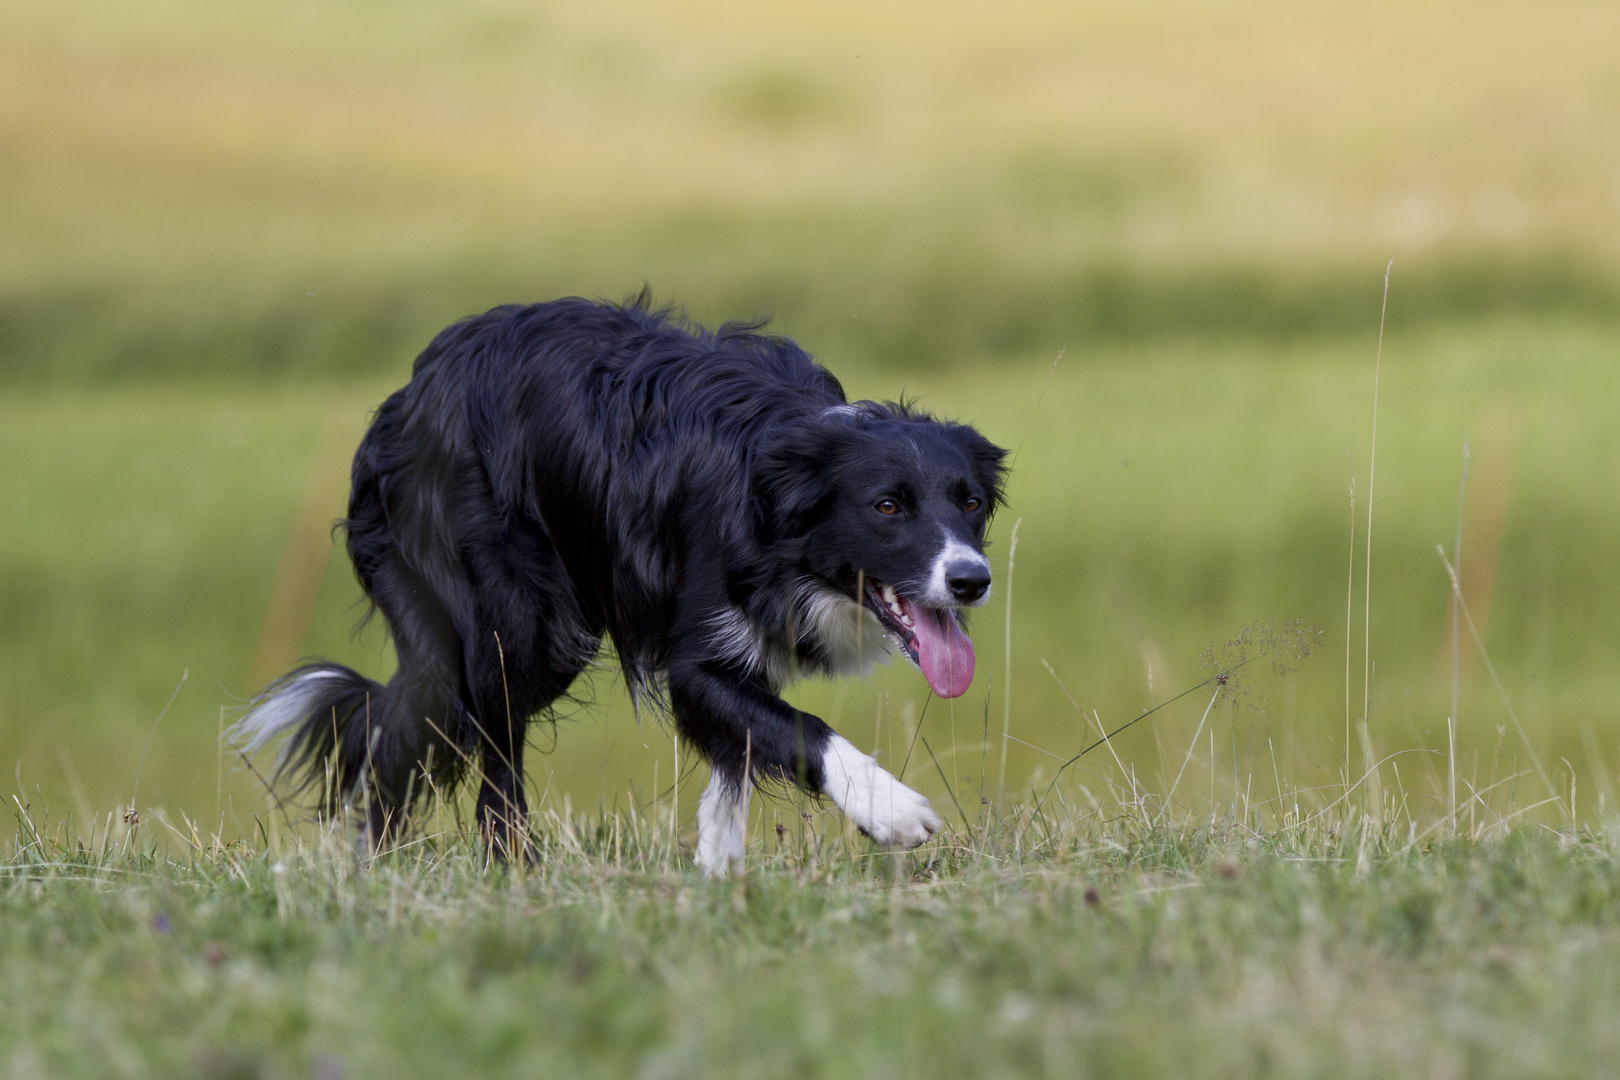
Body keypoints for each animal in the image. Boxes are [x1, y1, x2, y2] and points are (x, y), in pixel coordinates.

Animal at [234, 297, 1004, 880]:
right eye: (887, 506)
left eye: (970, 502)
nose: (972, 580)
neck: (782, 479)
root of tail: (403, 399)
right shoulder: (698, 651)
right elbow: (800, 728)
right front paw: (892, 810)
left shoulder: (740, 655)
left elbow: (738, 760)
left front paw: (718, 874)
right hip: (515, 624)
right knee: (474, 744)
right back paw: (492, 869)